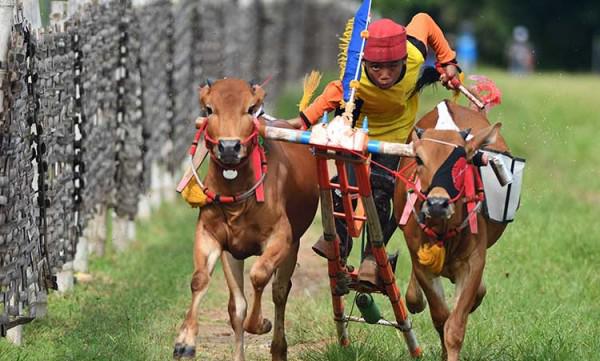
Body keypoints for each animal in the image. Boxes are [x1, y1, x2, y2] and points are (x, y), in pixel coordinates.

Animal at [173, 79, 318, 360]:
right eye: (209, 109)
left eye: (250, 109)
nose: (229, 147)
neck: (238, 202)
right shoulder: (214, 238)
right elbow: (205, 284)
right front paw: (184, 342)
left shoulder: (281, 236)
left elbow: (260, 276)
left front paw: (261, 323)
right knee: (238, 305)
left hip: (293, 245)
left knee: (280, 291)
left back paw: (278, 348)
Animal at [396, 102, 508, 360]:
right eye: (419, 159)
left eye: (462, 161)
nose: (437, 204)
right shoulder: (421, 262)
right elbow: (440, 317)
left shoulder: (473, 263)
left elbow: (455, 327)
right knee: (415, 298)